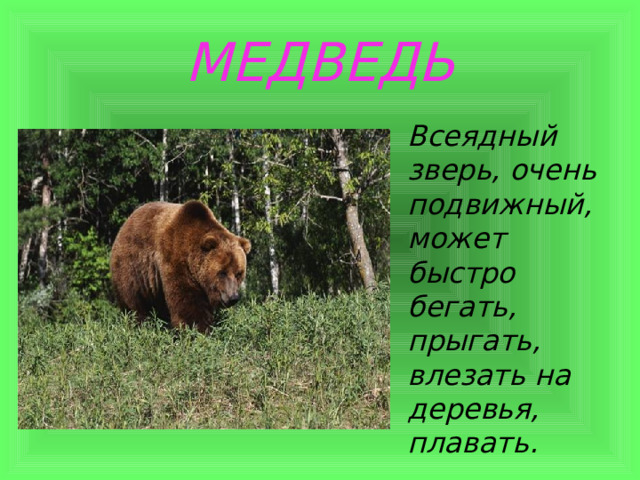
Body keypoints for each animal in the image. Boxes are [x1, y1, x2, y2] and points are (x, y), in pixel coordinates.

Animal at [109, 200, 251, 332]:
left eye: (239, 273)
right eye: (222, 272)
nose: (233, 297)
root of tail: (126, 223)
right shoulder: (175, 260)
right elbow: (187, 303)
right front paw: (197, 330)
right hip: (132, 268)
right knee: (133, 302)